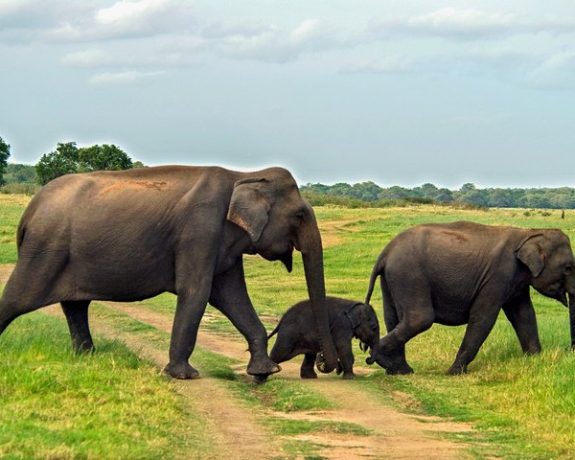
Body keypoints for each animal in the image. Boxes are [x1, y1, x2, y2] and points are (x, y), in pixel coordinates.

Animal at [0, 165, 340, 378]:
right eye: (299, 215)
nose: (326, 365)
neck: (245, 175)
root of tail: (29, 211)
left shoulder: (223, 243)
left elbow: (233, 297)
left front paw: (264, 372)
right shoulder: (200, 231)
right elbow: (198, 293)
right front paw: (184, 375)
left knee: (75, 306)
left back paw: (88, 357)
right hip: (44, 251)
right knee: (16, 299)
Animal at [364, 221, 575, 376]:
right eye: (568, 268)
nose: (569, 351)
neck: (529, 233)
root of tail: (385, 253)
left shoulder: (517, 282)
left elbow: (524, 314)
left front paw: (535, 360)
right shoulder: (497, 276)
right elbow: (484, 317)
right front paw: (453, 373)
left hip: (392, 278)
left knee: (393, 318)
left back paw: (399, 370)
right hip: (409, 274)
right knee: (419, 319)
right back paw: (379, 358)